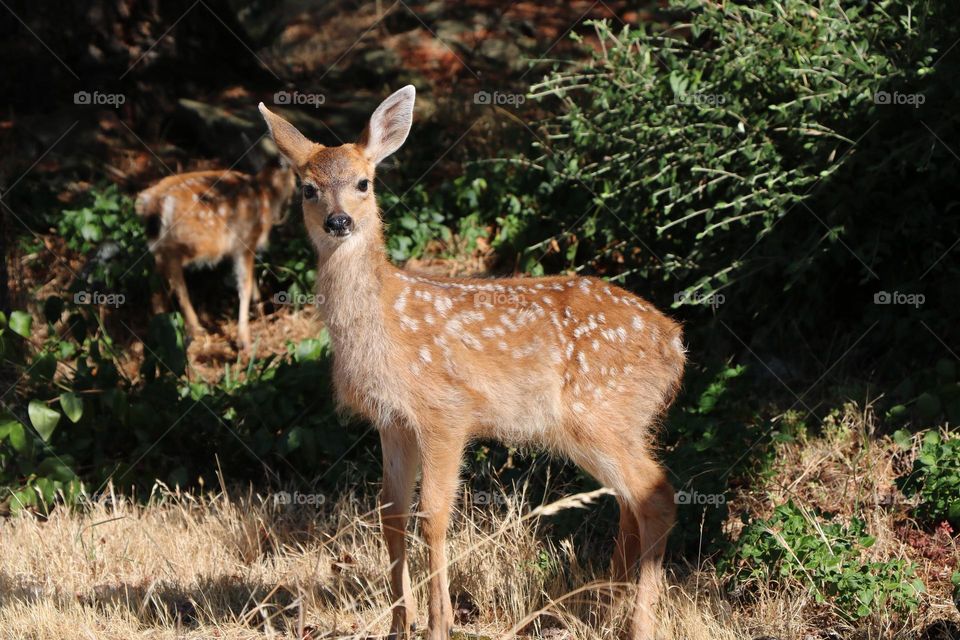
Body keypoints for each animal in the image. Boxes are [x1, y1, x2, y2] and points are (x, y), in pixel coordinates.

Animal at [133, 162, 294, 348]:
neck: (266, 193)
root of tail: (153, 202)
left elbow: (251, 280)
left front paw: (258, 309)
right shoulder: (246, 240)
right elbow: (244, 285)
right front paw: (244, 339)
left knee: (155, 275)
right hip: (197, 242)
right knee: (172, 276)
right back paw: (194, 328)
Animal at [258, 86, 688, 640]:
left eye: (363, 182)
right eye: (308, 189)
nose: (339, 222)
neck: (386, 325)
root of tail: (674, 342)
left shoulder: (446, 411)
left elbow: (434, 514)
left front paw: (438, 624)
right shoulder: (393, 421)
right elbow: (391, 513)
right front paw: (399, 624)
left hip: (601, 411)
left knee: (655, 496)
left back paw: (636, 624)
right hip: (609, 423)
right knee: (628, 502)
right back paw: (599, 607)